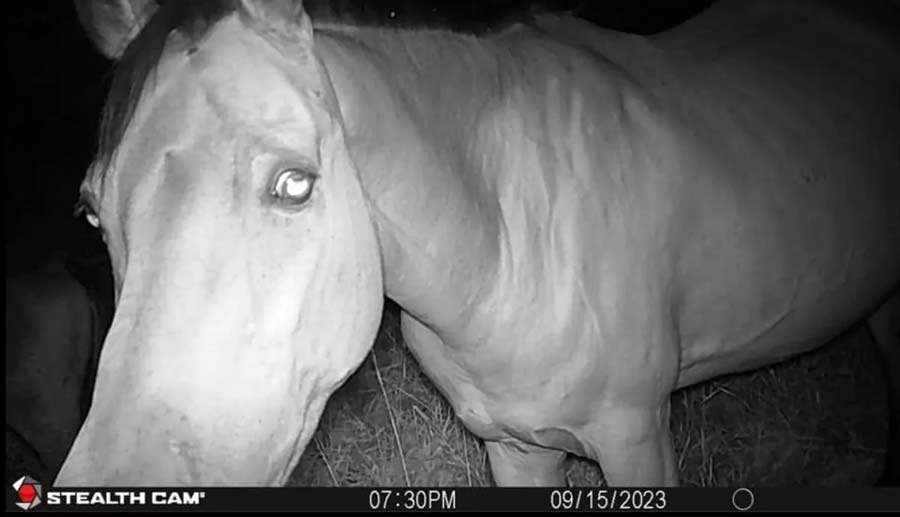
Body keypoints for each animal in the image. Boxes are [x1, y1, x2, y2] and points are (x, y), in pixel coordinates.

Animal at [58, 0, 900, 486]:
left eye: (295, 185)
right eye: (92, 215)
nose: (115, 476)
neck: (510, 243)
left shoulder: (638, 436)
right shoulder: (513, 444)